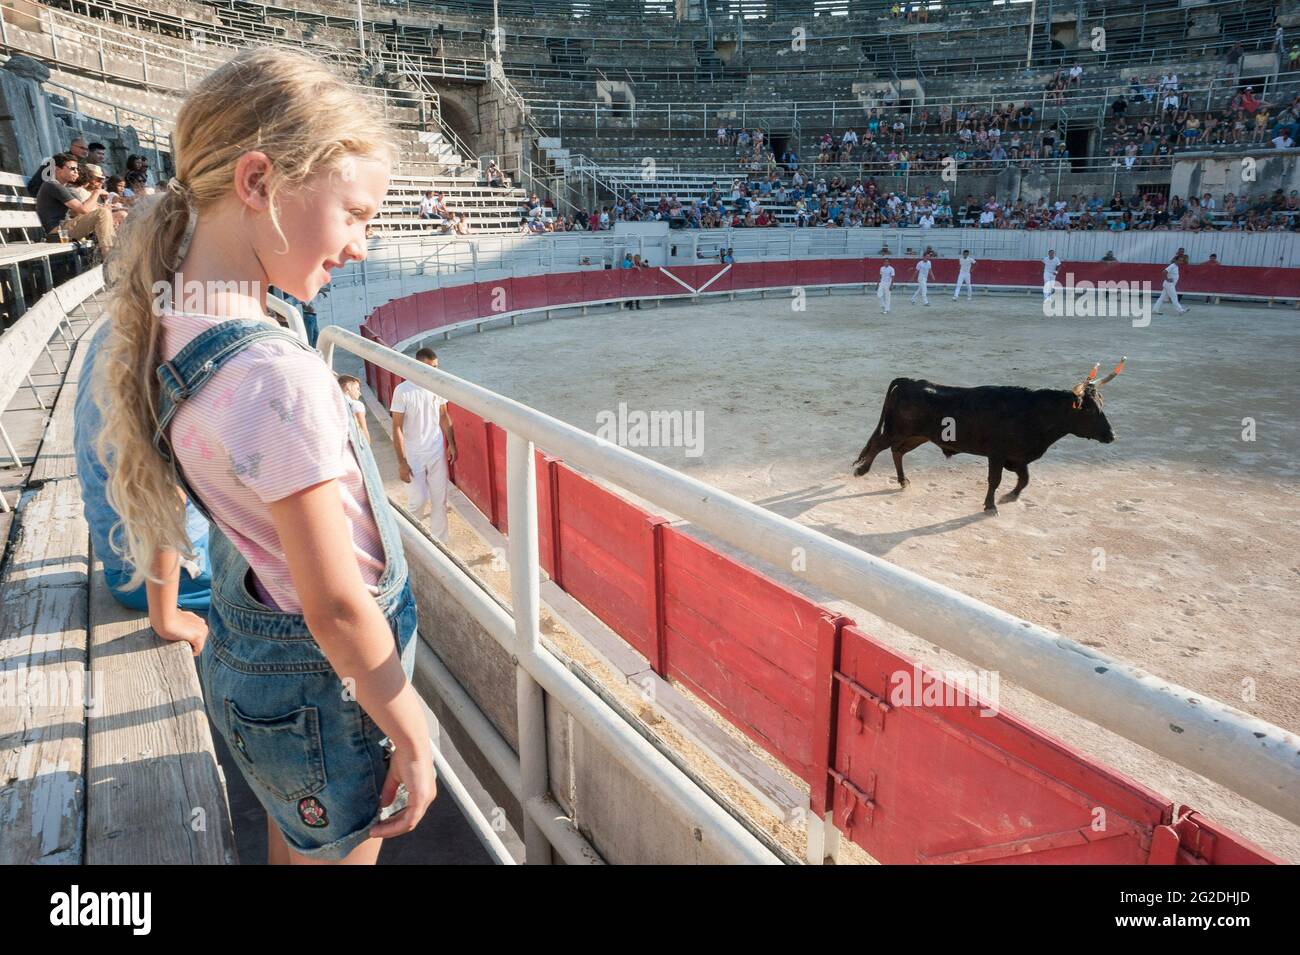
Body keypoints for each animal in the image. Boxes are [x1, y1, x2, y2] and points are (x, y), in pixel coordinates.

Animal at [852, 376, 1118, 511]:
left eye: (1102, 406)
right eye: (1090, 411)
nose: (1112, 435)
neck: (1033, 412)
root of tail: (911, 382)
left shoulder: (1017, 457)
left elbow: (1025, 478)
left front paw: (1011, 496)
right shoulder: (997, 455)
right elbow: (995, 480)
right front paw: (991, 505)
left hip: (918, 436)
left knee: (897, 451)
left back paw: (902, 481)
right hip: (898, 430)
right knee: (878, 445)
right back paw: (861, 470)